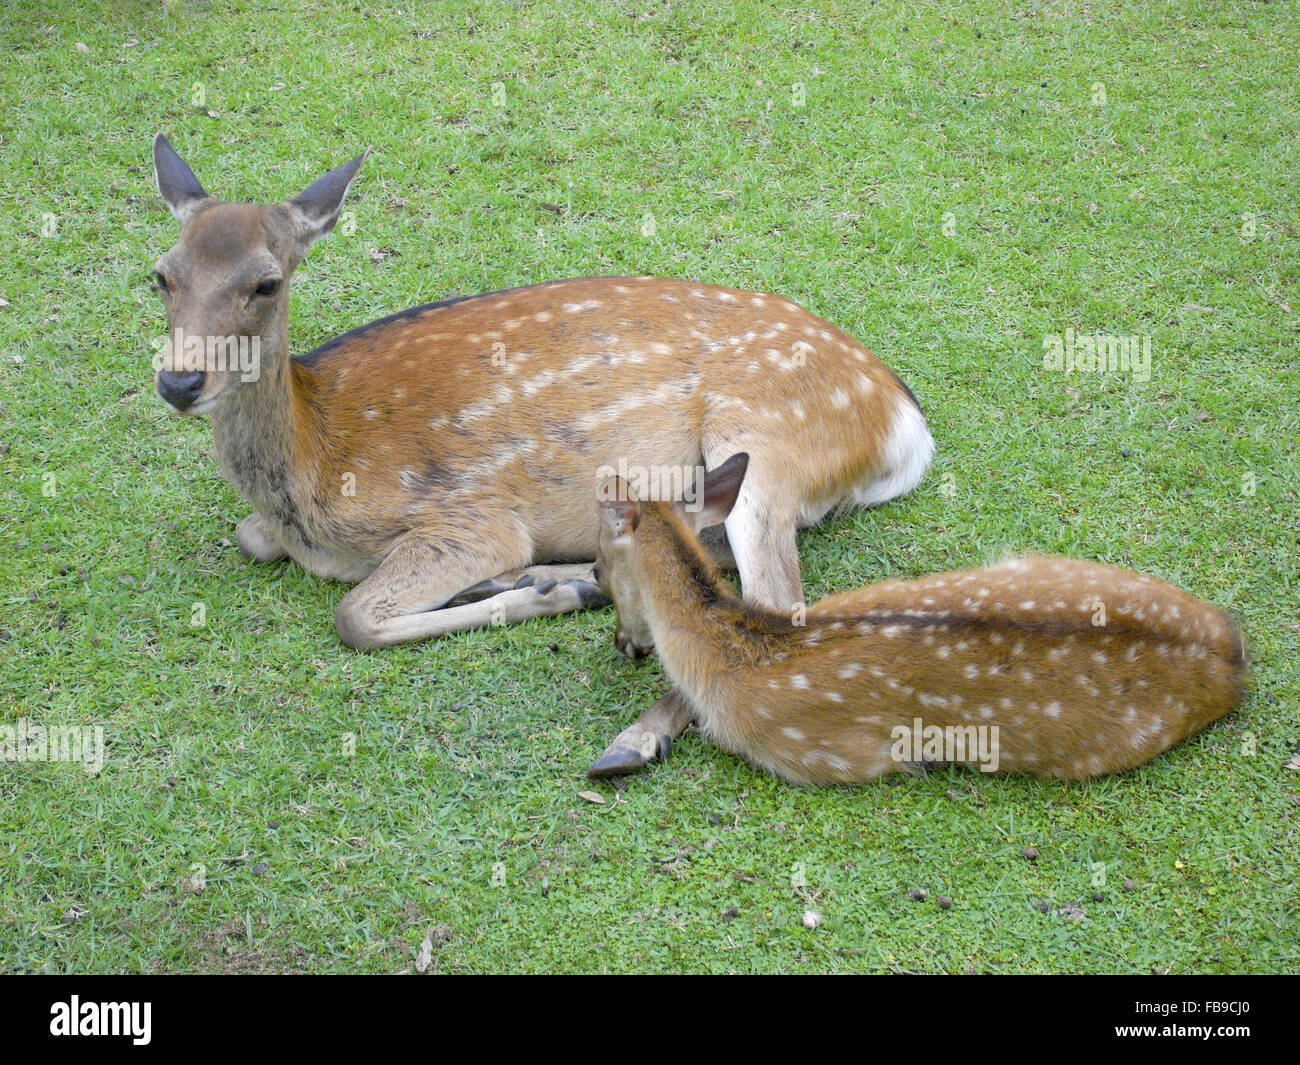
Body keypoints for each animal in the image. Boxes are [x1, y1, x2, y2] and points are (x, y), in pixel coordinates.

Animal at [147, 139, 930, 775]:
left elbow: (355, 617)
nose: (180, 381)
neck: (313, 467)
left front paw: (541, 593)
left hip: (764, 437)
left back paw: (630, 731)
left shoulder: (473, 519)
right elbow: (250, 539)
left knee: (776, 600)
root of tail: (904, 423)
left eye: (266, 281)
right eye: (161, 274)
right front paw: (546, 586)